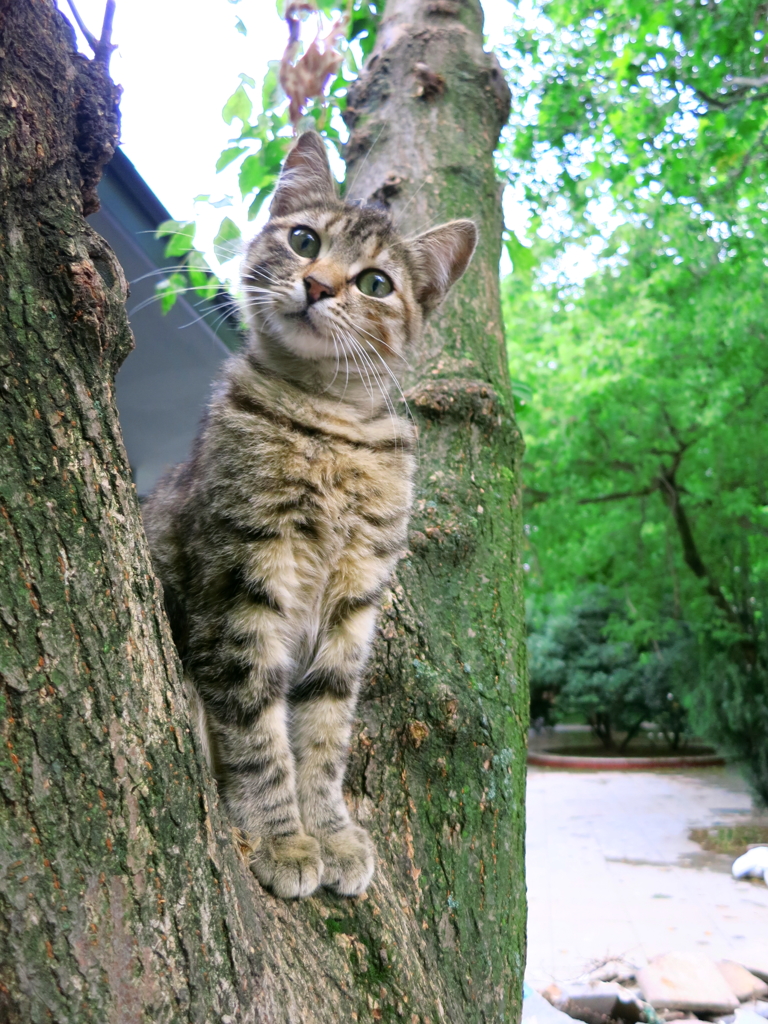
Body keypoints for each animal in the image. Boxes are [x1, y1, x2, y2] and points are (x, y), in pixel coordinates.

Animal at [143, 130, 479, 897]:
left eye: (376, 283)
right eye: (303, 240)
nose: (320, 284)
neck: (330, 426)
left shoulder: (354, 605)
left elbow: (324, 734)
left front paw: (329, 830)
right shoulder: (242, 582)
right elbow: (256, 730)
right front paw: (283, 838)